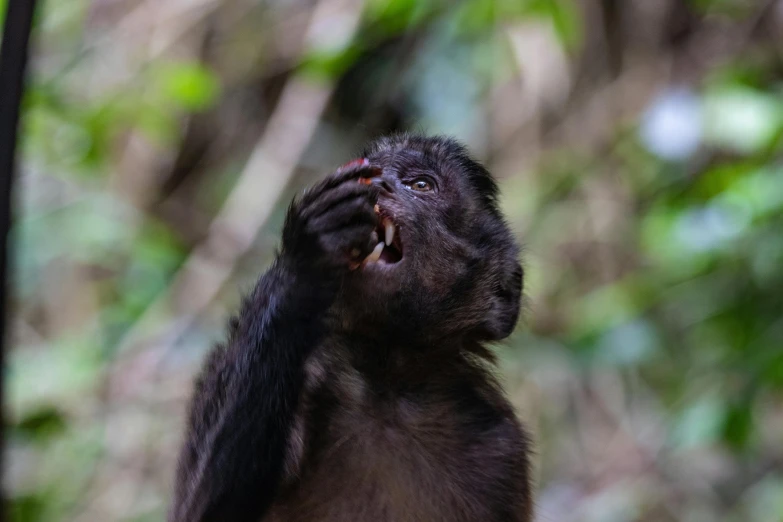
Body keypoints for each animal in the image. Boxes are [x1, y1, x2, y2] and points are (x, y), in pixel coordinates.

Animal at [171, 134, 532, 520]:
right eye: (376, 168)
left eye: (421, 185)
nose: (380, 181)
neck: (386, 378)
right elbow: (204, 512)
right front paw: (306, 261)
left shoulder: (499, 441)